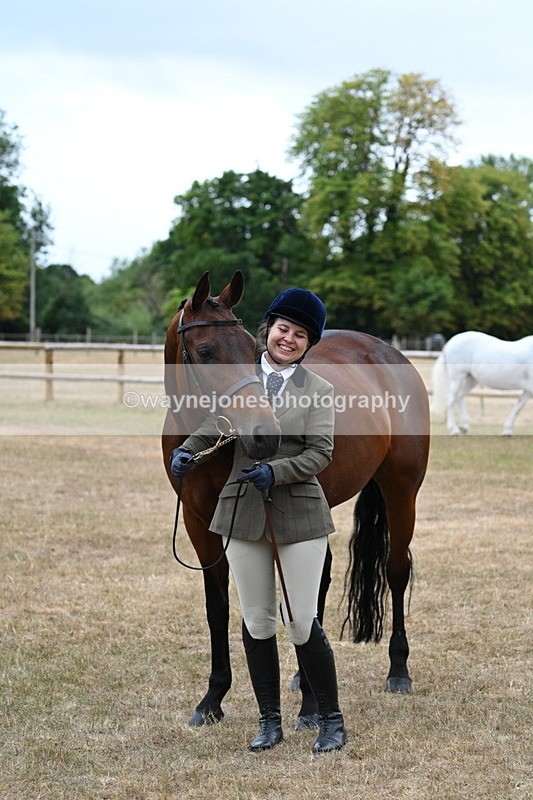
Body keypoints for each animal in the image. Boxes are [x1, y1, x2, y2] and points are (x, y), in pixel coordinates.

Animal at [162, 270, 430, 726]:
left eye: (251, 350)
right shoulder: (202, 523)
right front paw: (212, 699)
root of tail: (389, 353)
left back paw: (397, 670)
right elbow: (218, 607)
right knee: (319, 583)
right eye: (205, 351)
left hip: (401, 492)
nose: (264, 434)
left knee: (395, 571)